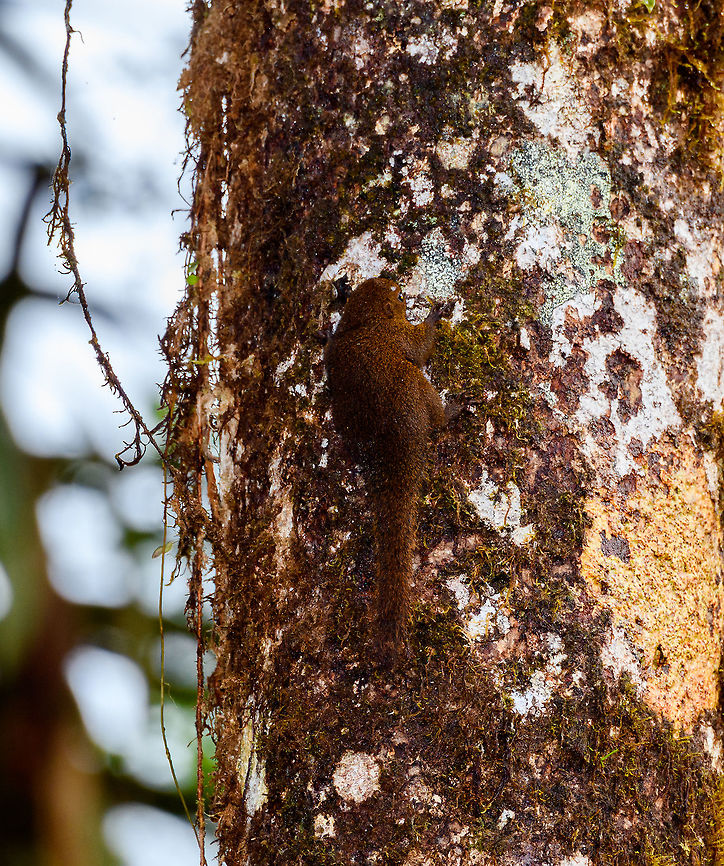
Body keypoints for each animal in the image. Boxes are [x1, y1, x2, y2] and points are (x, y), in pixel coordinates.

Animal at [325, 277, 454, 659]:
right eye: (396, 294)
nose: (393, 278)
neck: (362, 323)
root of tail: (392, 439)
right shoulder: (397, 334)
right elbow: (419, 347)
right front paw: (433, 316)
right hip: (413, 390)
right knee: (421, 387)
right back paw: (450, 412)